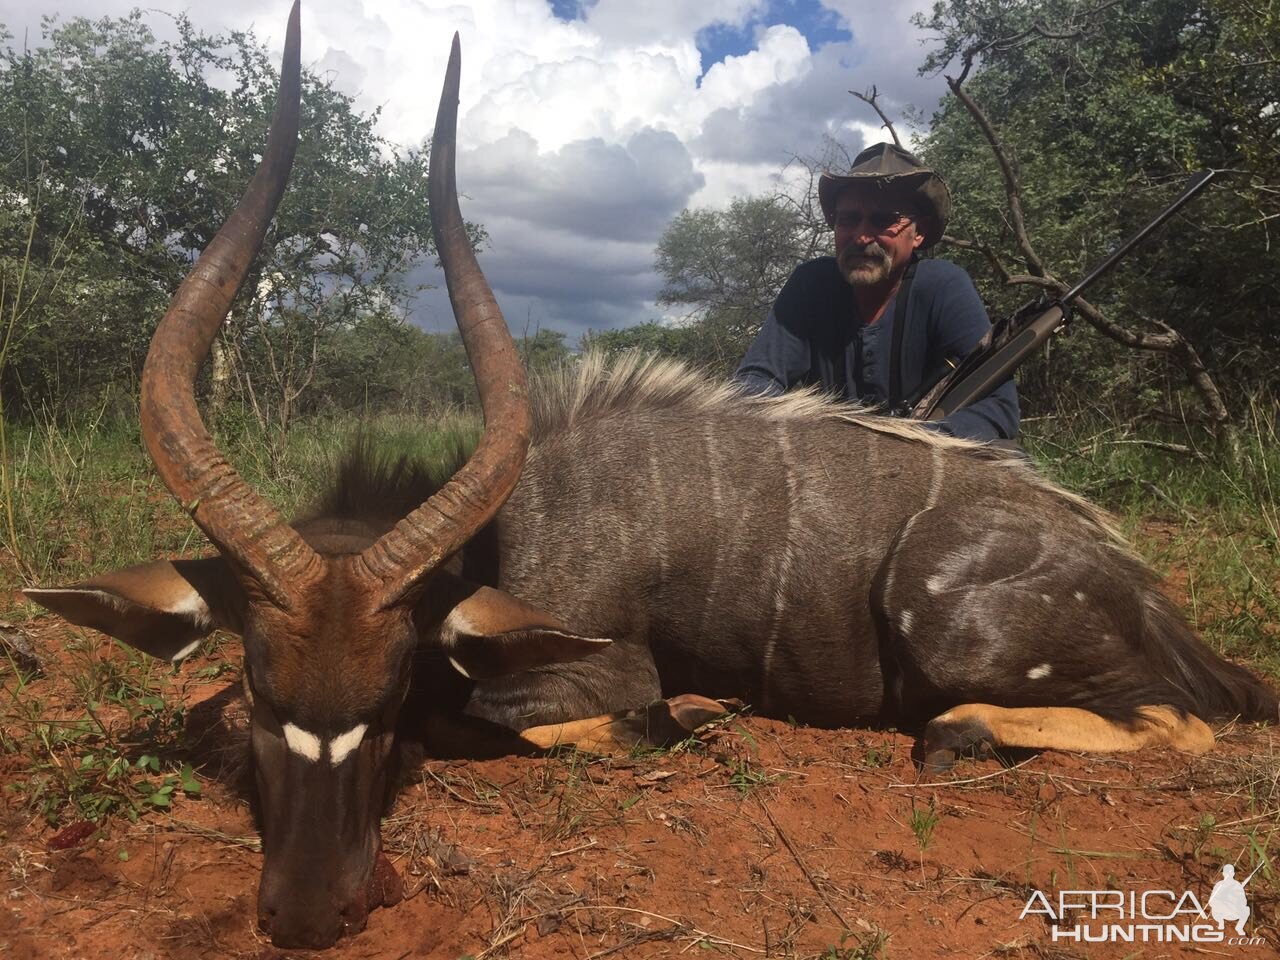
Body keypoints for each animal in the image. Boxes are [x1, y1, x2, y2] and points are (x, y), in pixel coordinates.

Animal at [22, 1, 1280, 957]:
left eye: (381, 700)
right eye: (261, 692)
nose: (305, 913)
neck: (510, 533)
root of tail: (1146, 595)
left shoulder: (598, 667)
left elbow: (523, 717)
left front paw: (694, 717)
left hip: (957, 623)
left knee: (1176, 723)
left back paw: (954, 731)